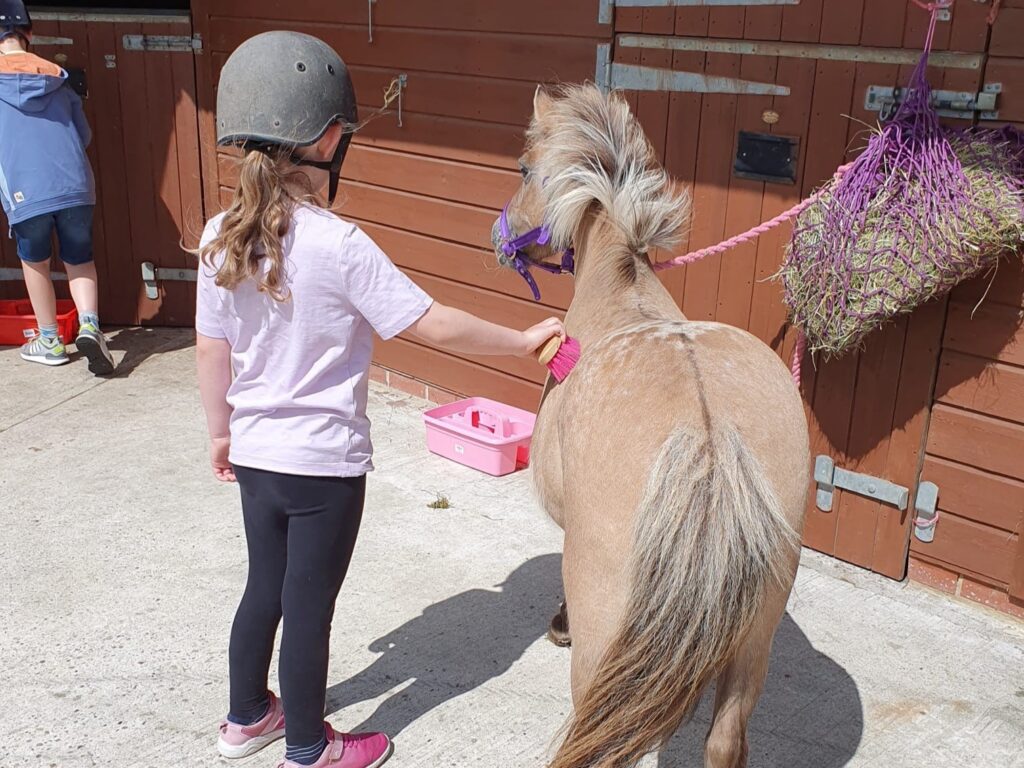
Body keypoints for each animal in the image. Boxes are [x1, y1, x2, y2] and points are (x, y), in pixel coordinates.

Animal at [492, 84, 810, 768]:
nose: (498, 237)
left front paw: (557, 625)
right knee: (725, 741)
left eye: (524, 169)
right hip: (756, 637)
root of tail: (711, 441)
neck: (621, 293)